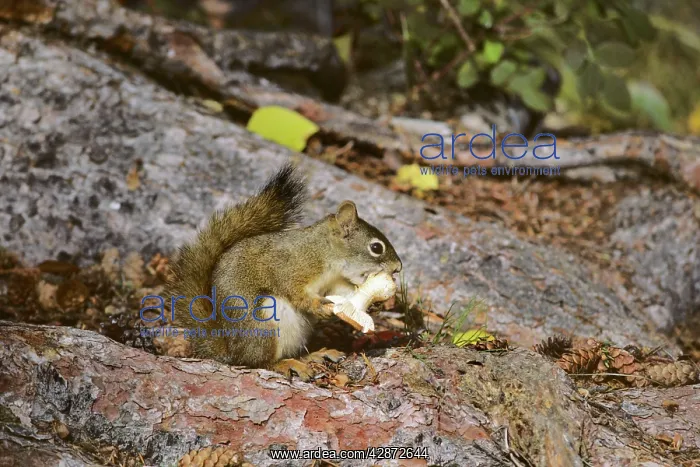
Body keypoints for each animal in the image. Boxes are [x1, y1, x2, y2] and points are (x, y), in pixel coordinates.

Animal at [166, 163, 402, 380]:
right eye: (376, 247)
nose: (398, 268)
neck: (326, 253)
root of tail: (230, 351)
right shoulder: (290, 267)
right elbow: (295, 292)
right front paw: (319, 307)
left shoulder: (335, 283)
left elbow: (346, 295)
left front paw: (376, 304)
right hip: (263, 325)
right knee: (259, 362)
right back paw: (287, 365)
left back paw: (314, 356)